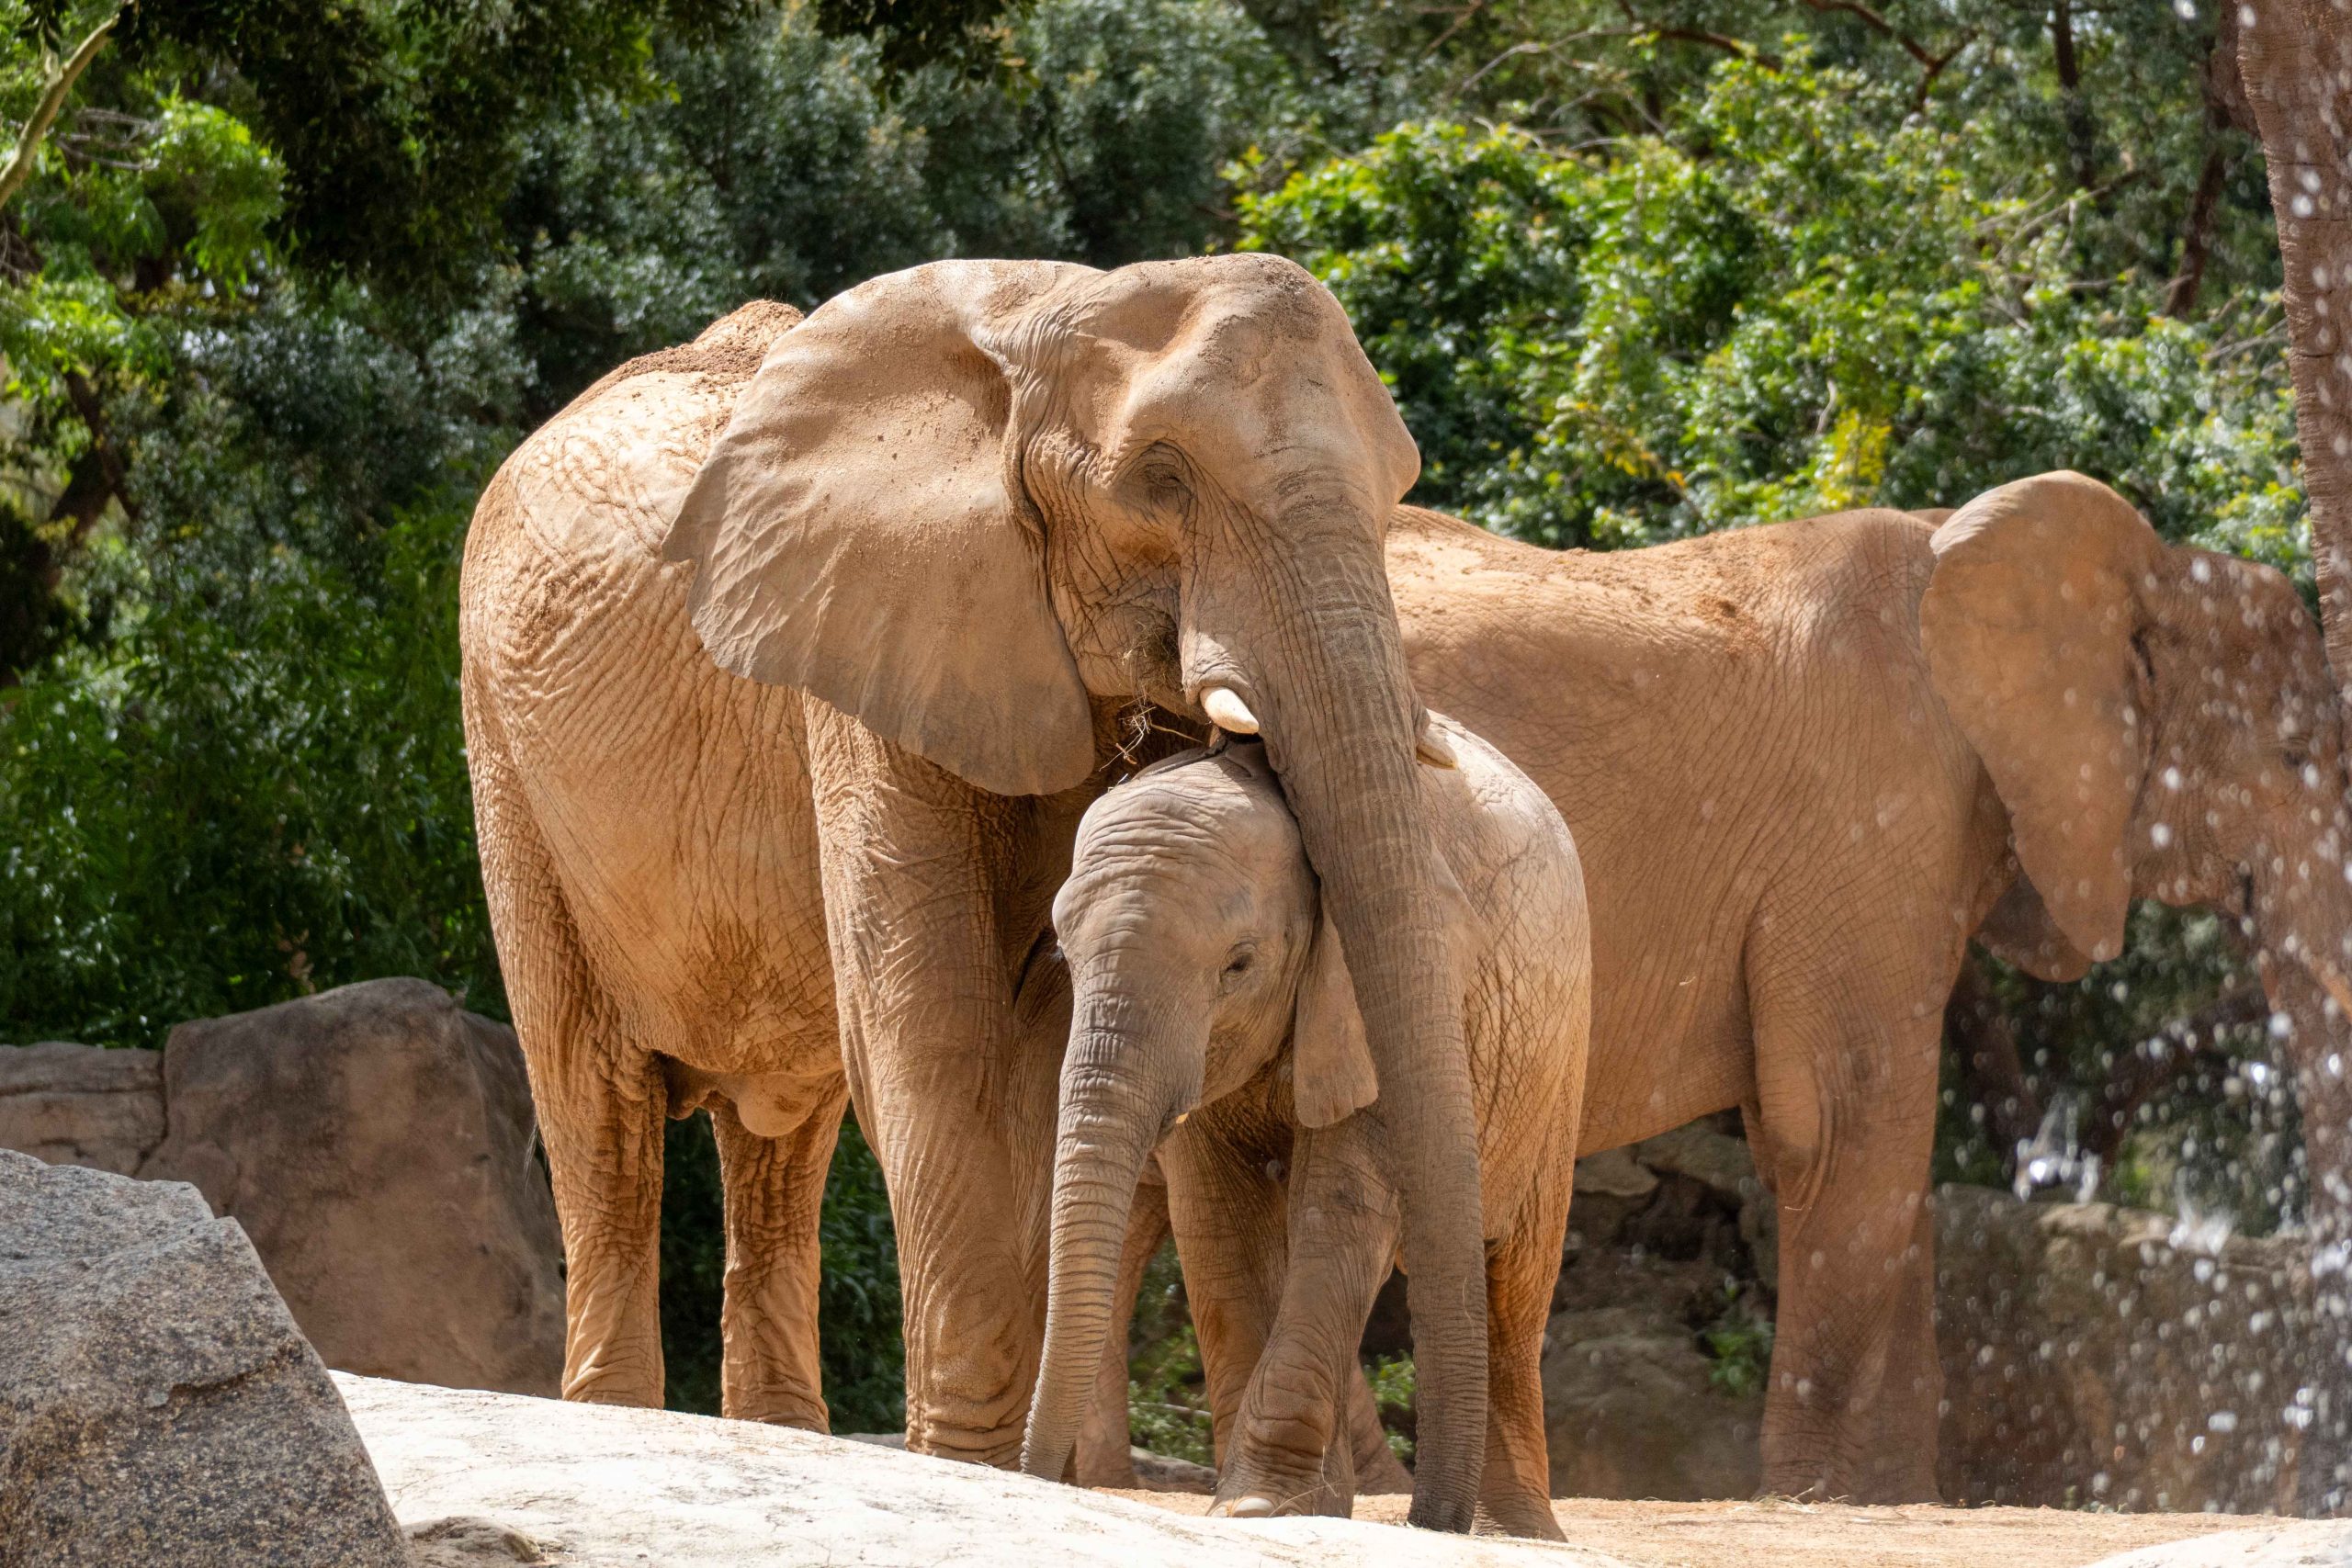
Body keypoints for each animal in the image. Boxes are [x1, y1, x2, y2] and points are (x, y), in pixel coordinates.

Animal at [457, 257, 1497, 1527]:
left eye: (1396, 494)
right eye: (1161, 479)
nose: (1439, 1516)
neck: (1048, 322)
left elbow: (1041, 1049)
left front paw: (1018, 1471)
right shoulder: (869, 644)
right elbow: (935, 1030)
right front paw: (971, 1464)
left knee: (782, 1142)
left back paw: (783, 1436)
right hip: (505, 750)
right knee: (596, 1100)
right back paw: (619, 1416)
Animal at [1016, 722, 1591, 1538]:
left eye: (1239, 964)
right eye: (1063, 953)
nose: (1033, 1474)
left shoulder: (1366, 995)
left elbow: (1339, 1207)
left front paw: (1255, 1505)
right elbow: (1221, 1220)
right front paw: (1276, 1506)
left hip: (1555, 1066)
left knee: (1513, 1278)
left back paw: (1512, 1532)